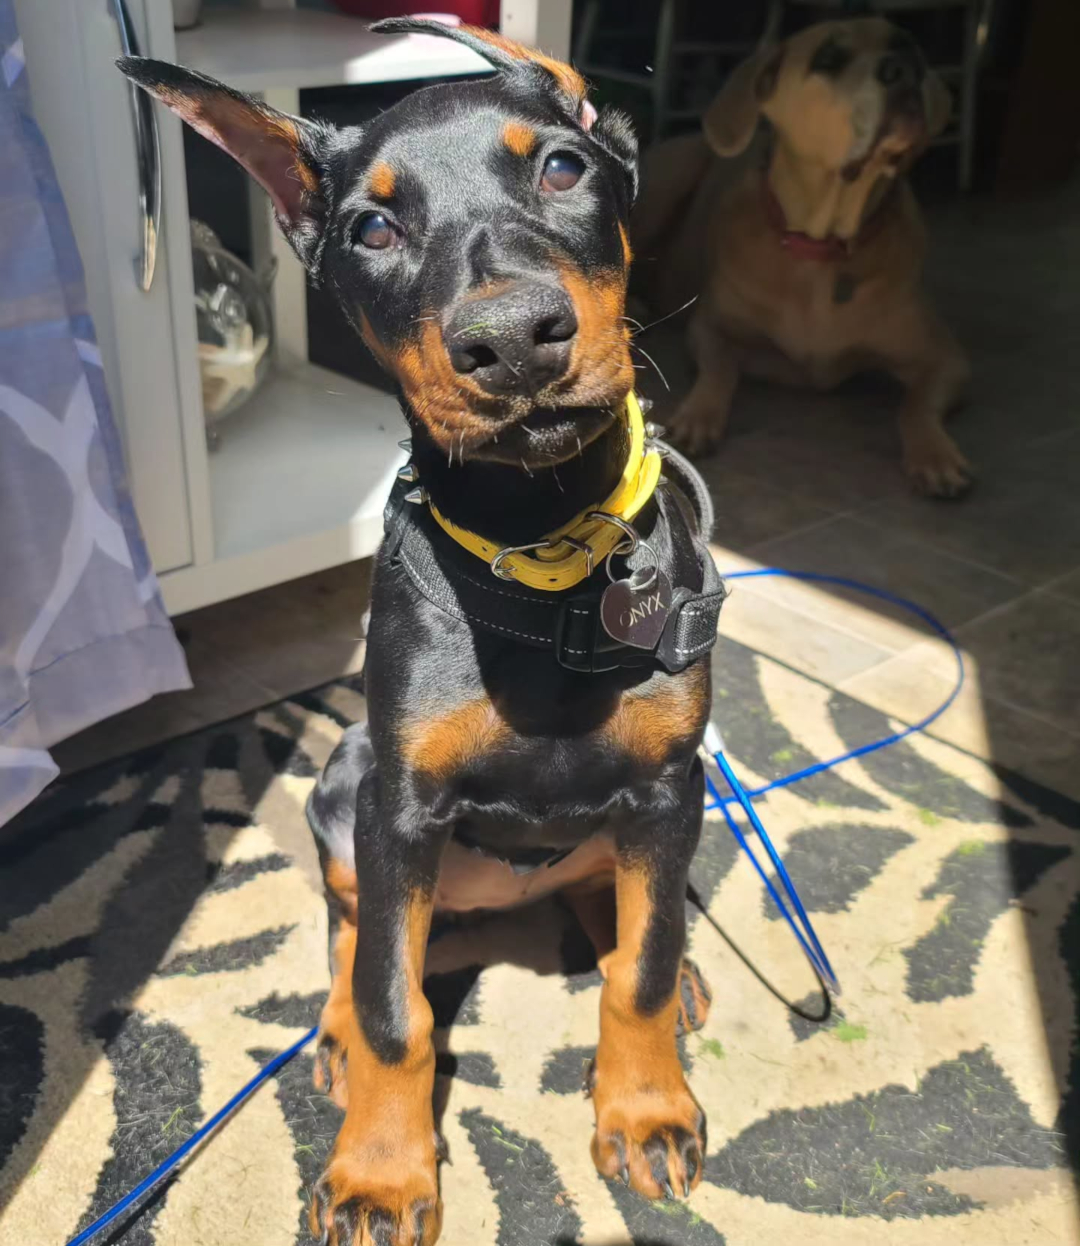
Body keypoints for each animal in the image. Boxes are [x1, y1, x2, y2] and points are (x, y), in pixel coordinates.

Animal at [122, 20, 726, 1245]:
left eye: (563, 168)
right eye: (373, 227)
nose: (515, 341)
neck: (543, 554)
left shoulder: (667, 781)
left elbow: (636, 972)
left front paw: (644, 1110)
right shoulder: (399, 805)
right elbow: (396, 1010)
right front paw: (381, 1176)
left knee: (613, 902)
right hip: (343, 790)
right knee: (357, 940)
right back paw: (335, 1036)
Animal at [634, 18, 973, 498]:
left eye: (906, 47)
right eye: (827, 59)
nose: (902, 70)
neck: (822, 246)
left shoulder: (946, 360)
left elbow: (914, 405)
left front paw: (936, 455)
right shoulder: (710, 329)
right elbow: (720, 370)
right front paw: (697, 417)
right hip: (668, 179)